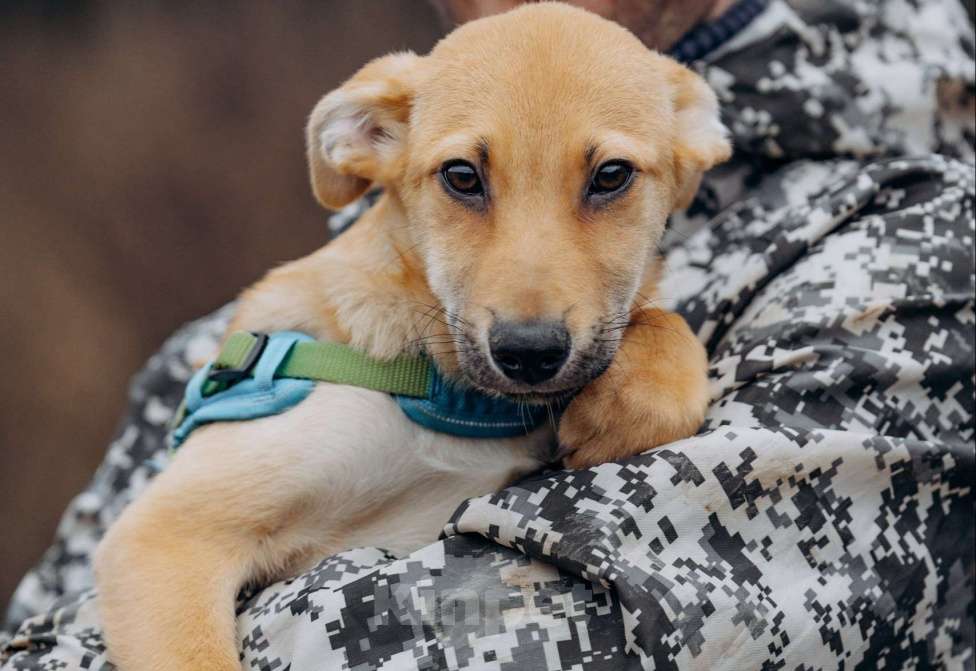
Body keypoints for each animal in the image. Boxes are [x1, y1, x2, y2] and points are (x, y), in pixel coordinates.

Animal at [94, 4, 730, 669]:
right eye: (461, 176)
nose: (529, 353)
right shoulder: (170, 532)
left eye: (611, 175)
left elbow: (666, 321)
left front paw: (628, 404)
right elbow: (199, 655)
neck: (446, 393)